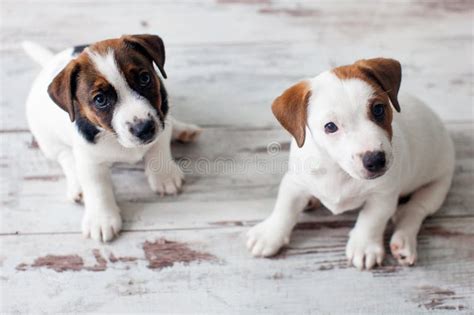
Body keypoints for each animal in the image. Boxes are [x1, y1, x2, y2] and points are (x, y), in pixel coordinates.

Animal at [23, 34, 201, 242]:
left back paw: (182, 129)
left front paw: (164, 176)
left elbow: (159, 148)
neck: (114, 137)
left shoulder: (161, 117)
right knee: (65, 157)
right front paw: (101, 220)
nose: (144, 129)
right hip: (48, 139)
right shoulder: (90, 160)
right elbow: (97, 188)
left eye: (145, 78)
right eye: (100, 99)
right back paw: (77, 183)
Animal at [246, 58, 454, 270]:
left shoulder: (383, 196)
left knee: (414, 210)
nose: (375, 160)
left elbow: (371, 220)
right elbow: (284, 208)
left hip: (438, 185)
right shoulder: (295, 182)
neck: (338, 170)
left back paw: (404, 241)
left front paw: (364, 246)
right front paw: (270, 234)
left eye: (378, 109)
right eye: (330, 127)